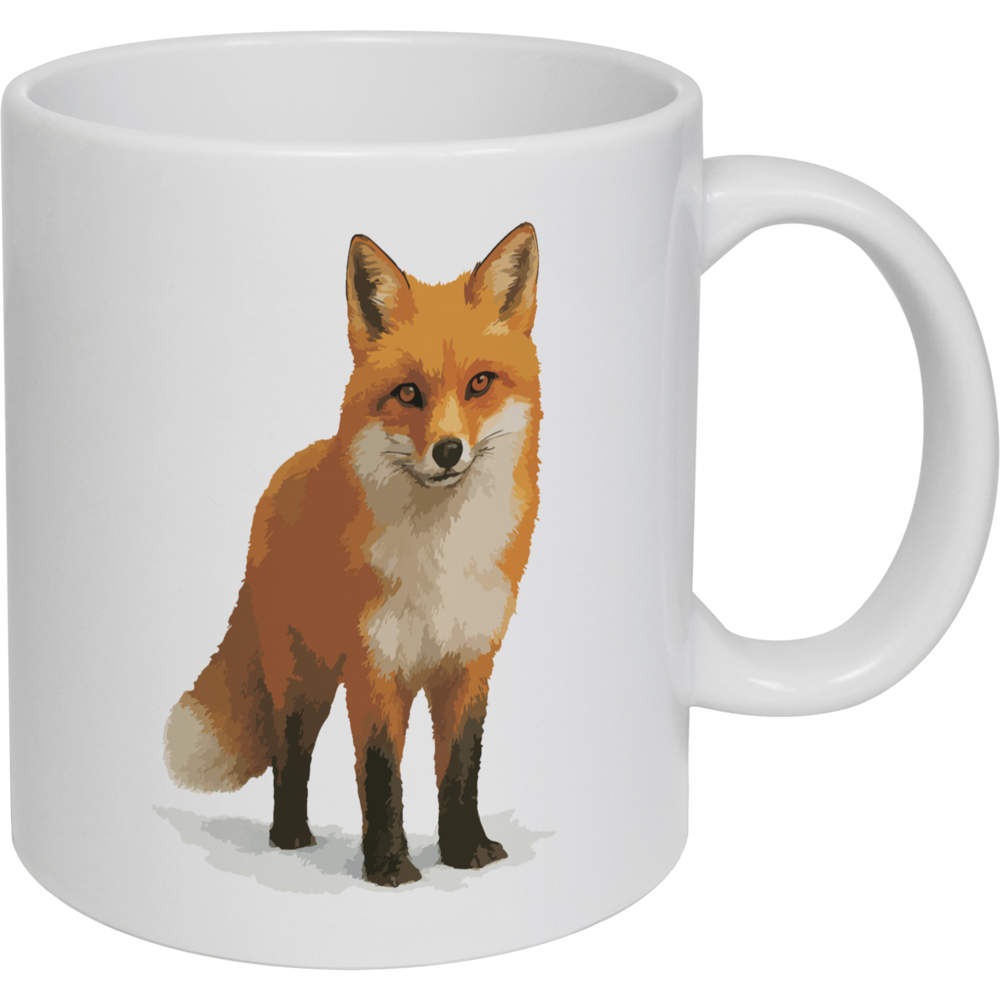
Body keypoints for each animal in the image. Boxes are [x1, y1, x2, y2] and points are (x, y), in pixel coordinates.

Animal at [164, 223, 540, 886]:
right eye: (408, 393)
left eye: (480, 383)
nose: (448, 450)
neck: (439, 556)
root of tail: (285, 472)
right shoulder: (375, 667)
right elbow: (381, 773)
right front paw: (389, 866)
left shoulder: (469, 664)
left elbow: (460, 770)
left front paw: (463, 850)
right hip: (301, 679)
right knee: (291, 755)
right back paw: (290, 837)